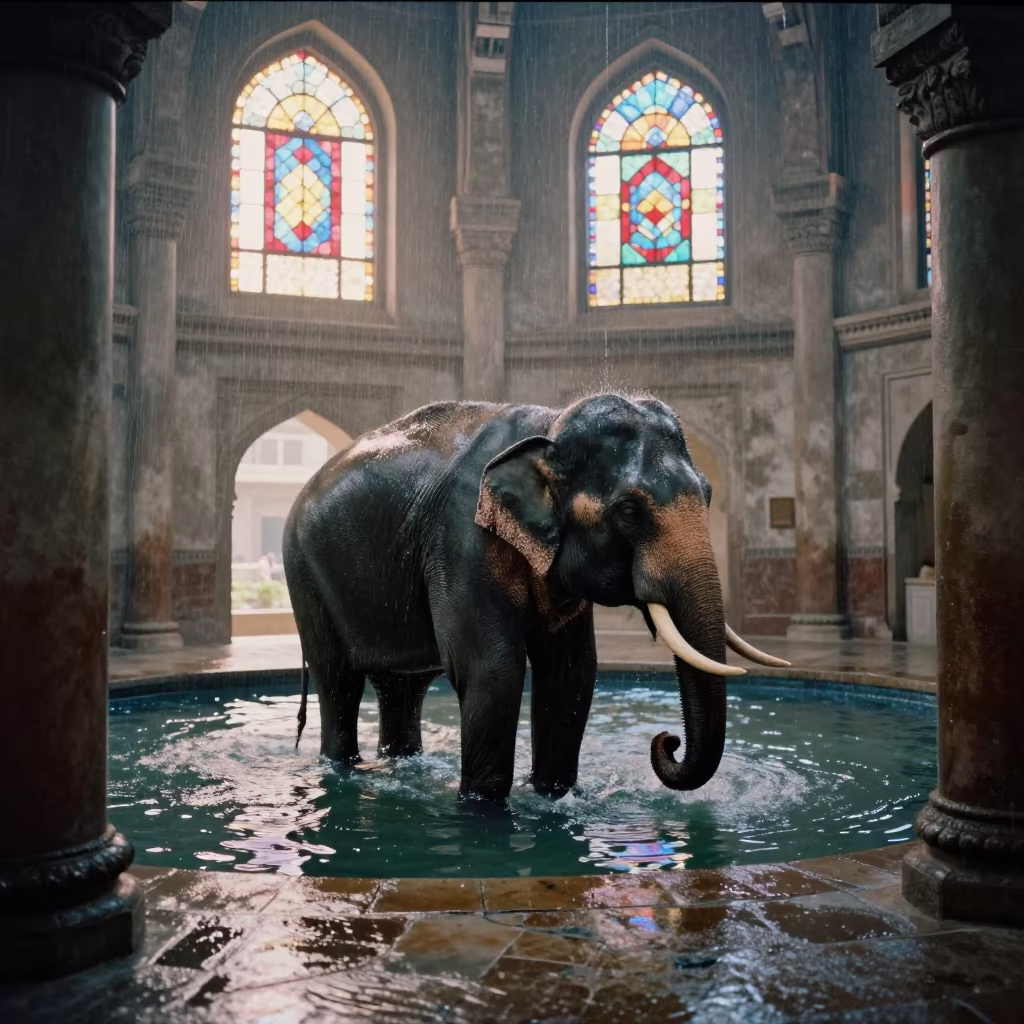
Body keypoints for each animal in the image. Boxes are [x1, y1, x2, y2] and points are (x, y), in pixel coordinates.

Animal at [283, 393, 788, 802]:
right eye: (629, 511)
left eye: (708, 494)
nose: (668, 740)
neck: (551, 425)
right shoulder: (461, 538)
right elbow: (493, 670)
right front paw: (484, 810)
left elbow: (571, 672)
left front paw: (553, 798)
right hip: (303, 572)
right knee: (339, 680)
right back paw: (343, 769)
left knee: (402, 687)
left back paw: (400, 765)